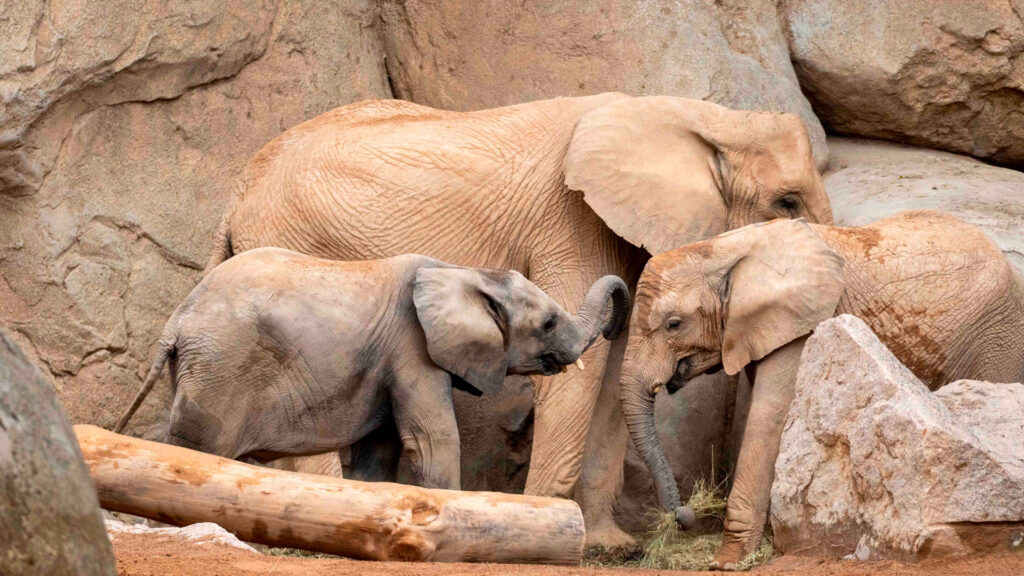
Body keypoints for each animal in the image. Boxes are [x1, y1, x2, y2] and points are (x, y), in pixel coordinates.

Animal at [115, 247, 629, 489]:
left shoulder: (389, 361)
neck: (462, 270)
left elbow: (378, 452)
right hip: (222, 363)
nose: (617, 326)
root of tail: (178, 318)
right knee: (196, 444)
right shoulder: (412, 348)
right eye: (548, 323)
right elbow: (432, 440)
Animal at [203, 92, 833, 545]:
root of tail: (236, 193)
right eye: (787, 203)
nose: (685, 519)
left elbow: (613, 370)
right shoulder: (570, 220)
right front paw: (550, 525)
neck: (699, 115)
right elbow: (585, 370)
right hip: (296, 246)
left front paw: (608, 547)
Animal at [620, 210, 1024, 569]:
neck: (724, 248)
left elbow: (768, 415)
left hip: (997, 335)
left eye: (674, 324)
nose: (683, 515)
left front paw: (727, 563)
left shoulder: (803, 323)